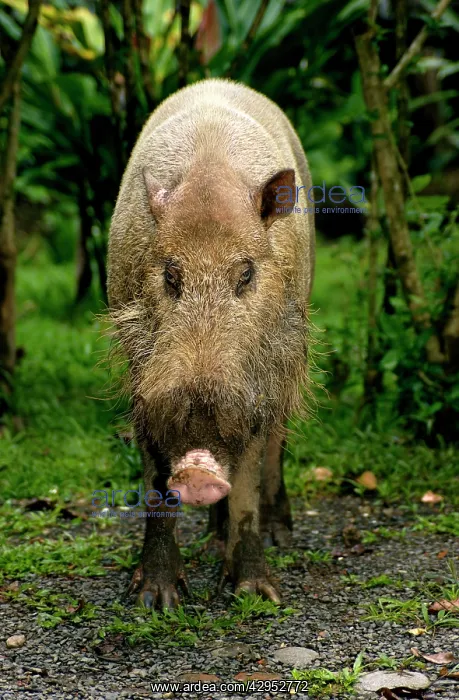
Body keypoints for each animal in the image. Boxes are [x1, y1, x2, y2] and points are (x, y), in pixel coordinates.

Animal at [107, 78, 315, 609]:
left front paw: (257, 596)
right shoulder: (145, 382)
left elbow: (246, 482)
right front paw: (155, 602)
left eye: (246, 274)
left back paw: (280, 535)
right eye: (170, 274)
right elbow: (155, 478)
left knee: (277, 444)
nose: (198, 472)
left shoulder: (260, 384)